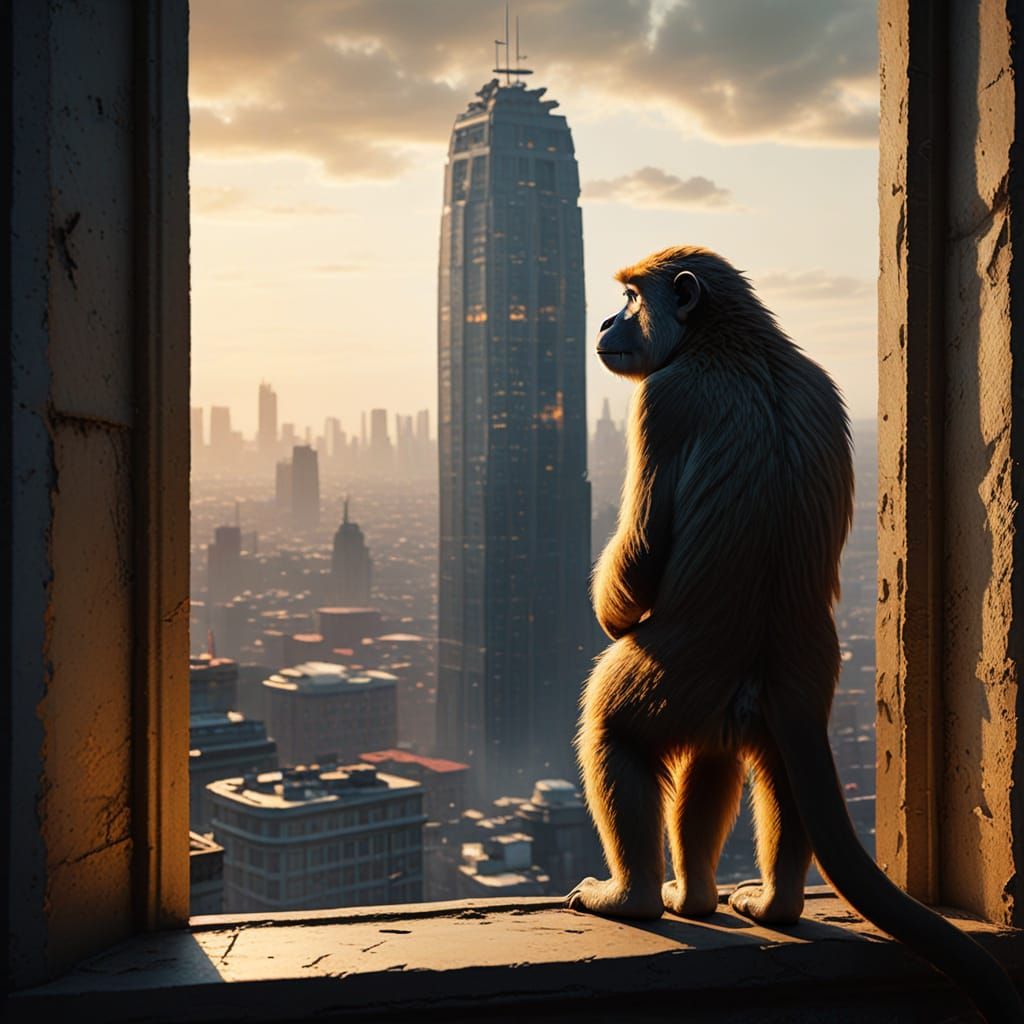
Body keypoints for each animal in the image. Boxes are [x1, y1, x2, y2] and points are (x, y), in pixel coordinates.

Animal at [567, 246, 1023, 1022]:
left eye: (630, 298)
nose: (605, 321)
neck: (732, 341)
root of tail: (776, 670)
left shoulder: (663, 399)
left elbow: (644, 550)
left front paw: (613, 609)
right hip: (784, 688)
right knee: (754, 766)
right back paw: (755, 902)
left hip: (665, 675)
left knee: (615, 730)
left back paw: (635, 899)